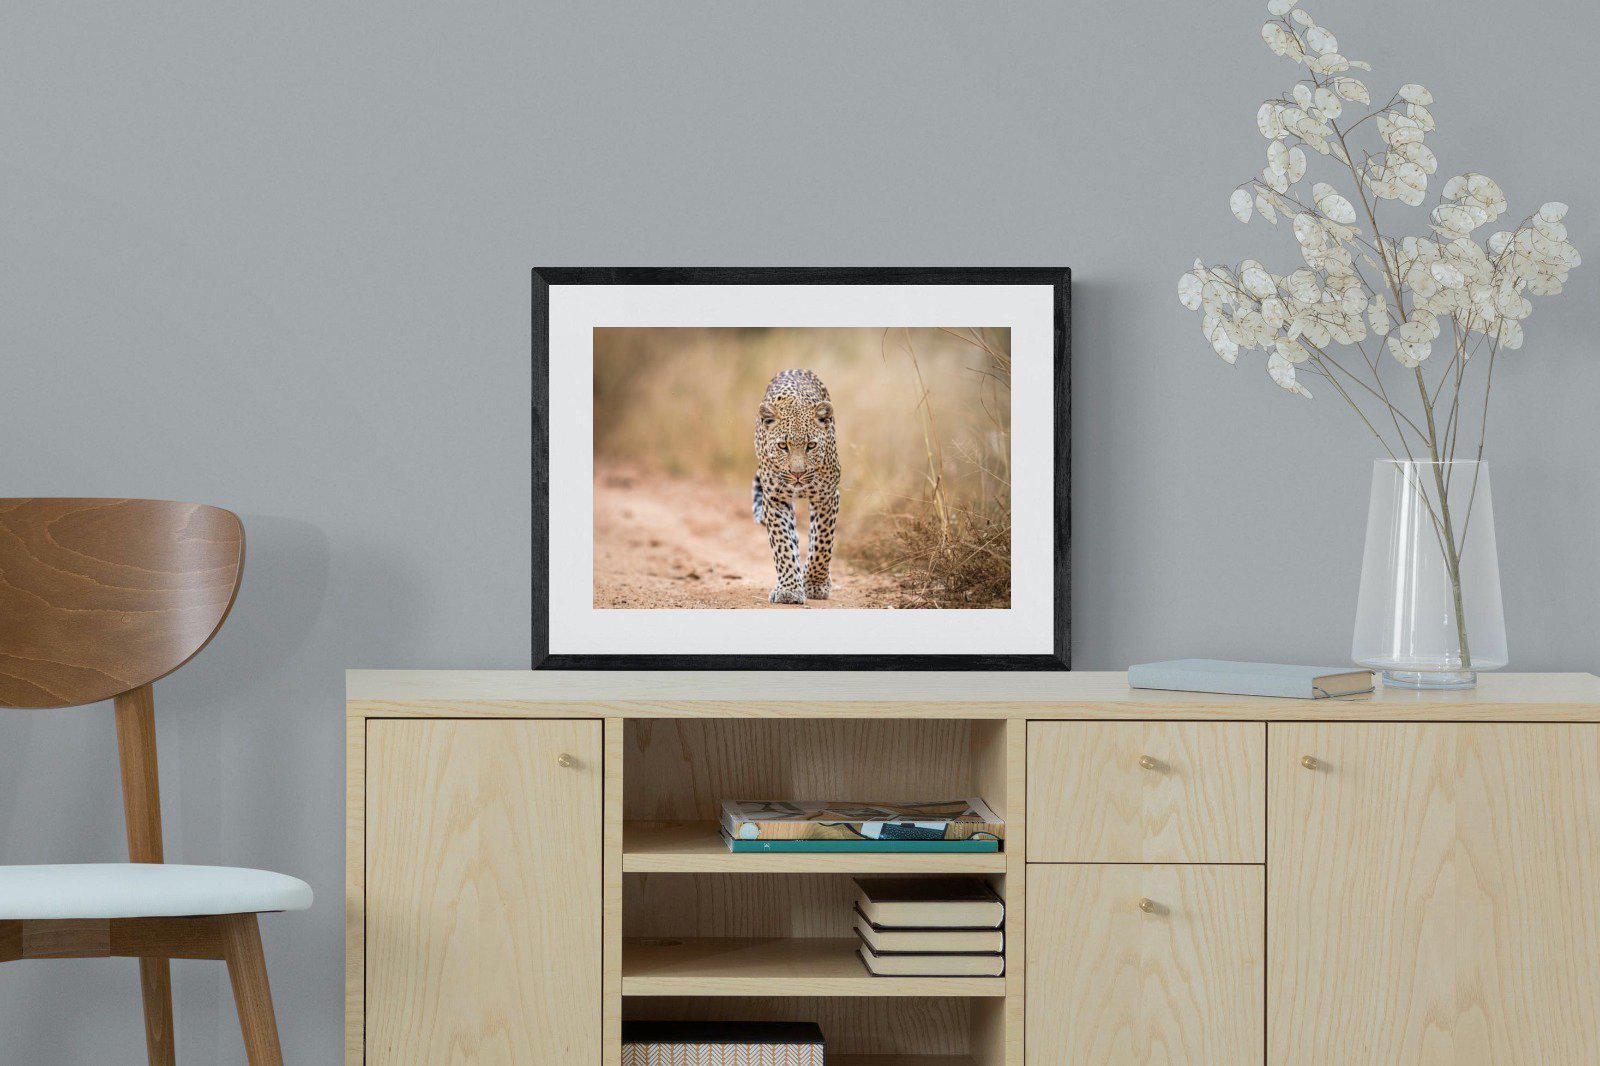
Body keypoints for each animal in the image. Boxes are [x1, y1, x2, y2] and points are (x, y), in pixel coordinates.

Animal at [751, 368, 841, 604]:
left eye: (811, 445)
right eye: (783, 446)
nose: (797, 473)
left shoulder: (827, 496)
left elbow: (822, 543)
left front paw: (815, 584)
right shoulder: (775, 499)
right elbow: (783, 544)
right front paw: (789, 590)